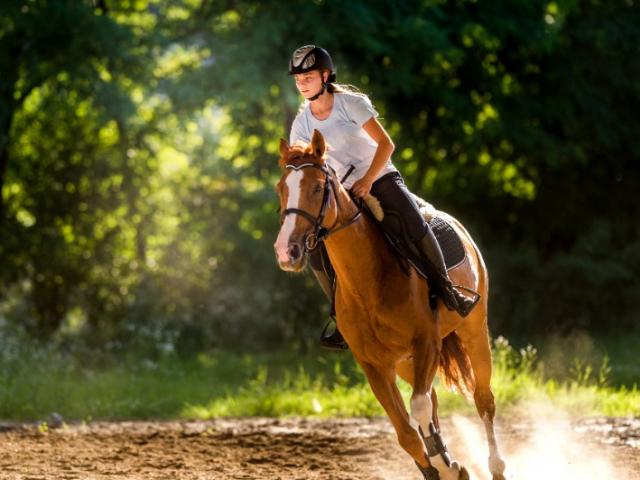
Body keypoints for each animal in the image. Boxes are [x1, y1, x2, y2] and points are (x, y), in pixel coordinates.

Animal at [272, 128, 508, 480]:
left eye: (315, 188)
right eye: (281, 189)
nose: (287, 251)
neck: (367, 283)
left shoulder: (426, 344)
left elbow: (419, 409)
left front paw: (446, 464)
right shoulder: (374, 365)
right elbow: (407, 433)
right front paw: (441, 467)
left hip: (473, 332)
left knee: (482, 399)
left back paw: (495, 466)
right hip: (406, 361)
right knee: (433, 401)